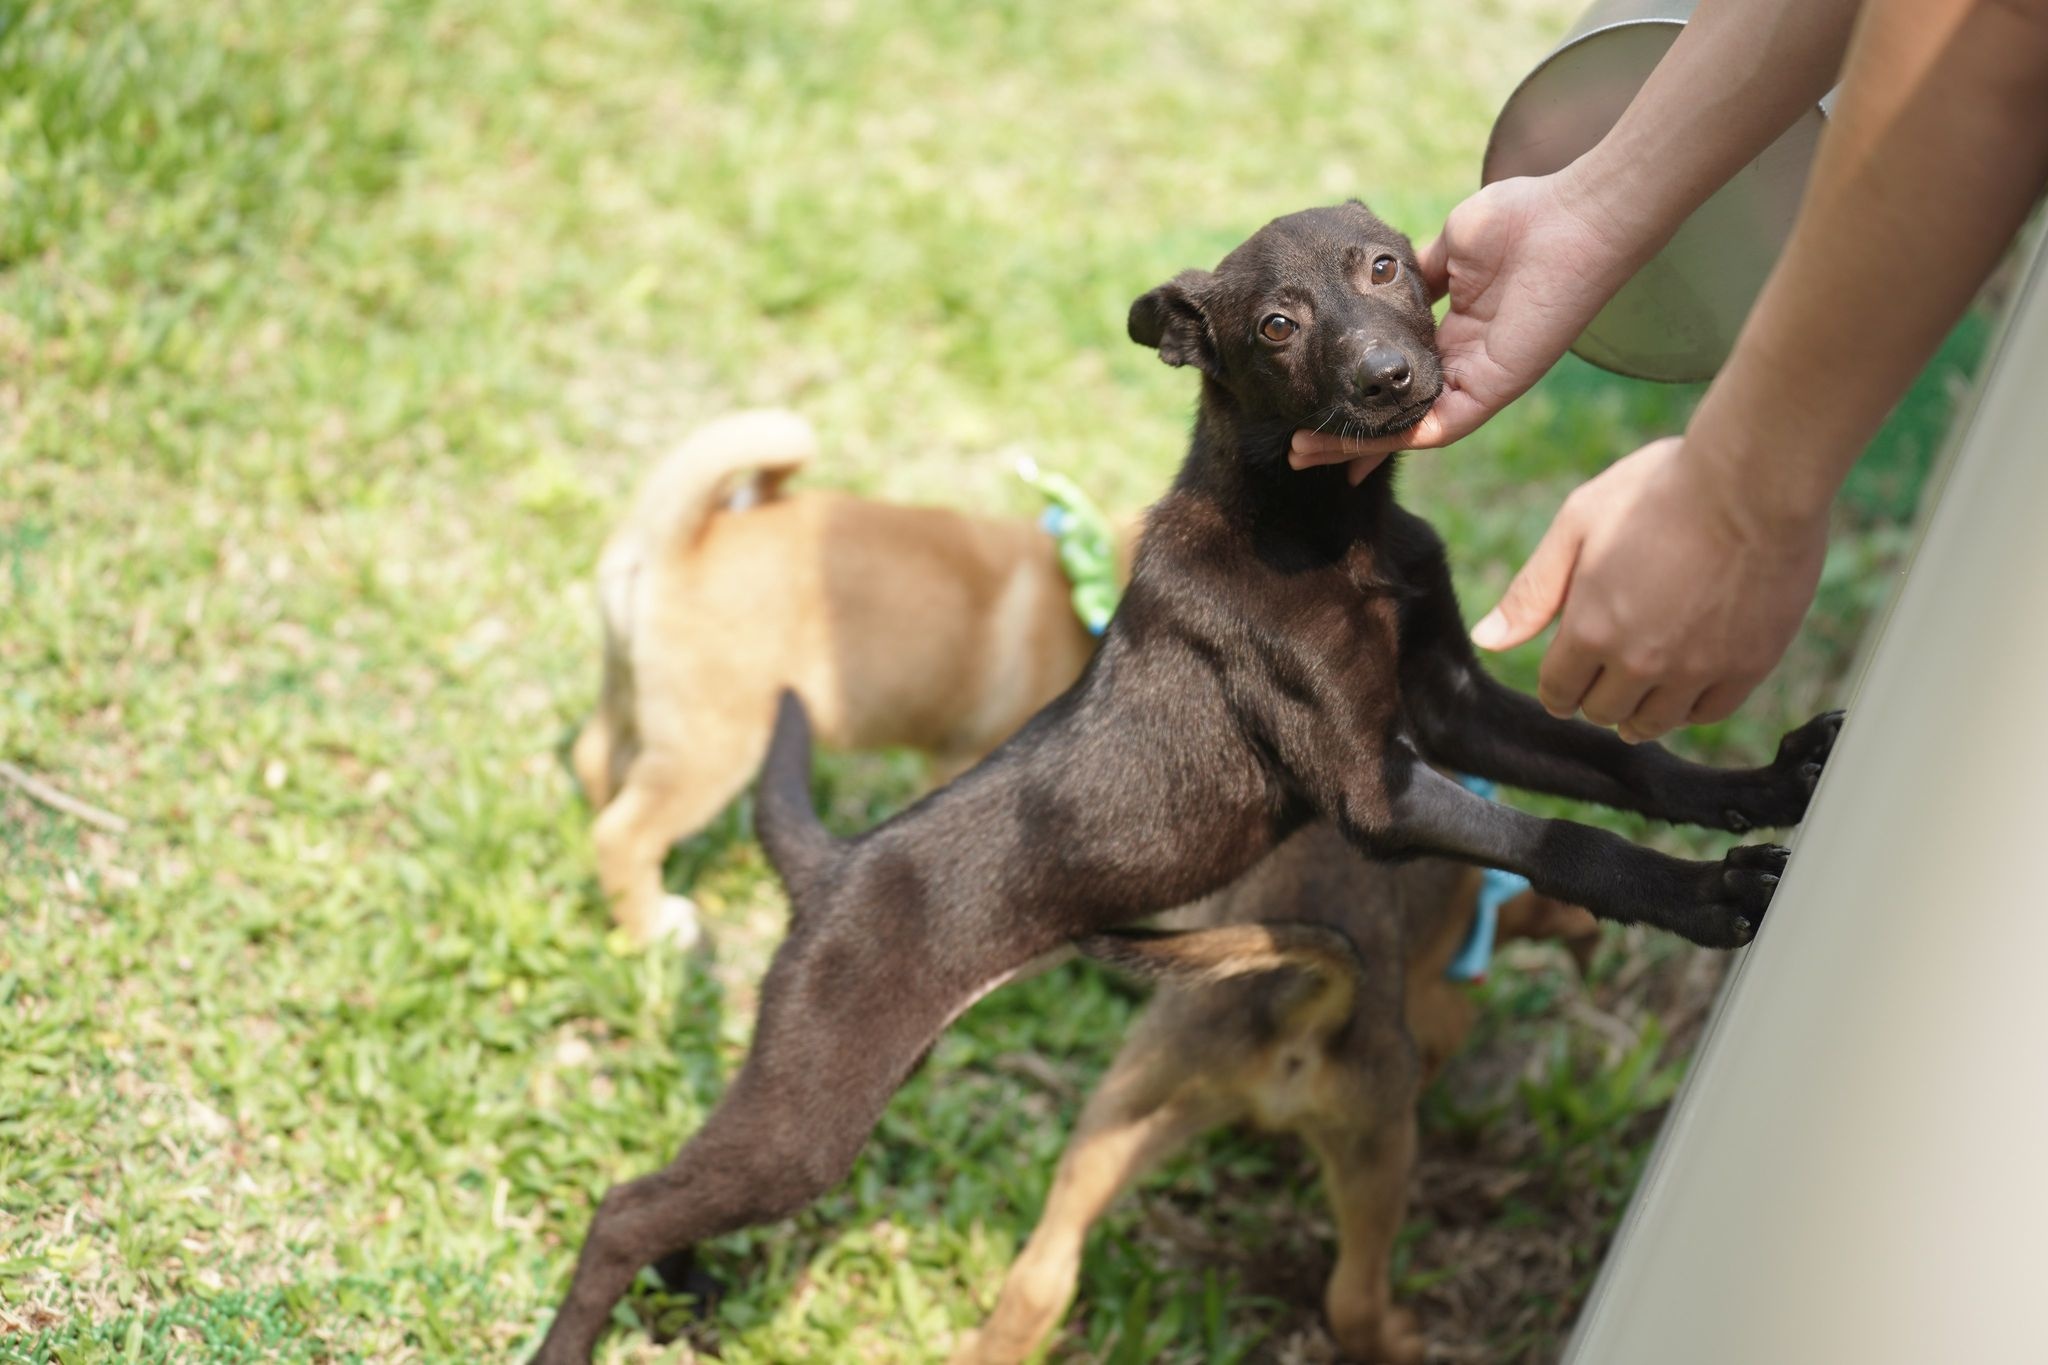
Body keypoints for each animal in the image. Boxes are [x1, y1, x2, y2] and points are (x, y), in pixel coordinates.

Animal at [569, 411, 1114, 949]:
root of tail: (685, 538)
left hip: (631, 696)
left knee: (596, 763)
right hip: (713, 745)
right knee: (622, 833)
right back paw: (652, 927)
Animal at [942, 822, 1597, 1365]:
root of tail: (1303, 1001)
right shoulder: (1436, 996)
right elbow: (1452, 1024)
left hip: (1124, 1113)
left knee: (1039, 1278)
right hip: (1382, 1142)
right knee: (1353, 1298)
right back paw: (1399, 1343)